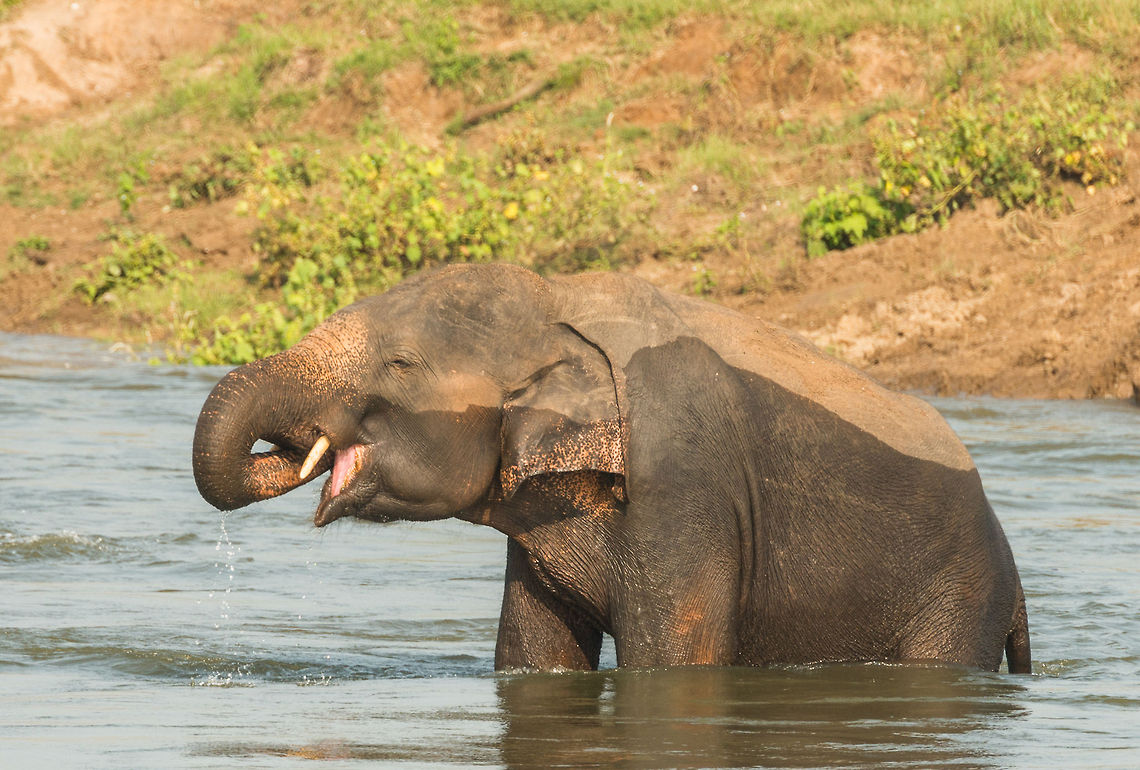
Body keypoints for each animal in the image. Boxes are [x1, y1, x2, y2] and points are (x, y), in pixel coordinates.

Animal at [192, 263, 1031, 673]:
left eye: (399, 363)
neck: (561, 302)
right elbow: (534, 654)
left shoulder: (684, 489)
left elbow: (674, 658)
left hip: (960, 593)